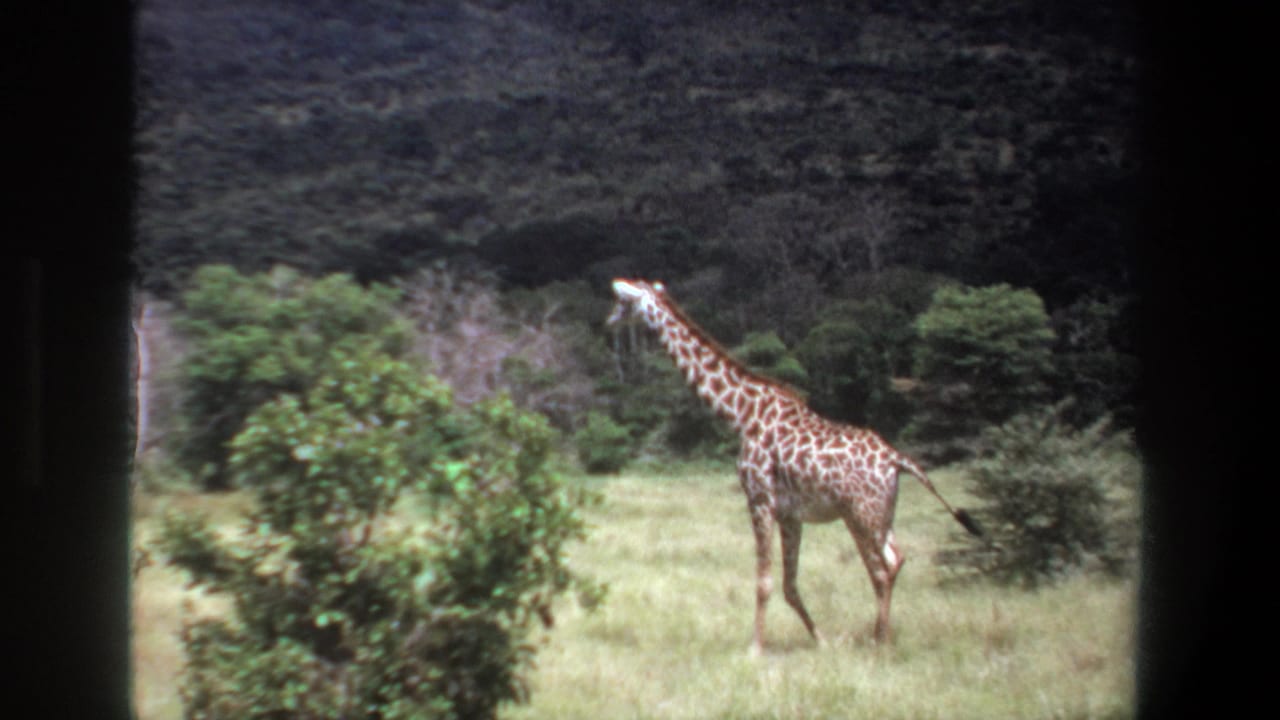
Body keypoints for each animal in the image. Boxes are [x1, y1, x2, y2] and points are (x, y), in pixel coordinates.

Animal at [608, 278, 981, 652]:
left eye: (623, 301)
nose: (609, 322)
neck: (740, 415)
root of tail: (897, 460)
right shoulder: (790, 513)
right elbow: (789, 584)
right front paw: (822, 640)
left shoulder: (759, 499)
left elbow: (764, 581)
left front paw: (755, 649)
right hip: (879, 515)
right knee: (891, 562)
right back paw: (879, 636)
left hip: (861, 514)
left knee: (883, 568)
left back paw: (880, 642)